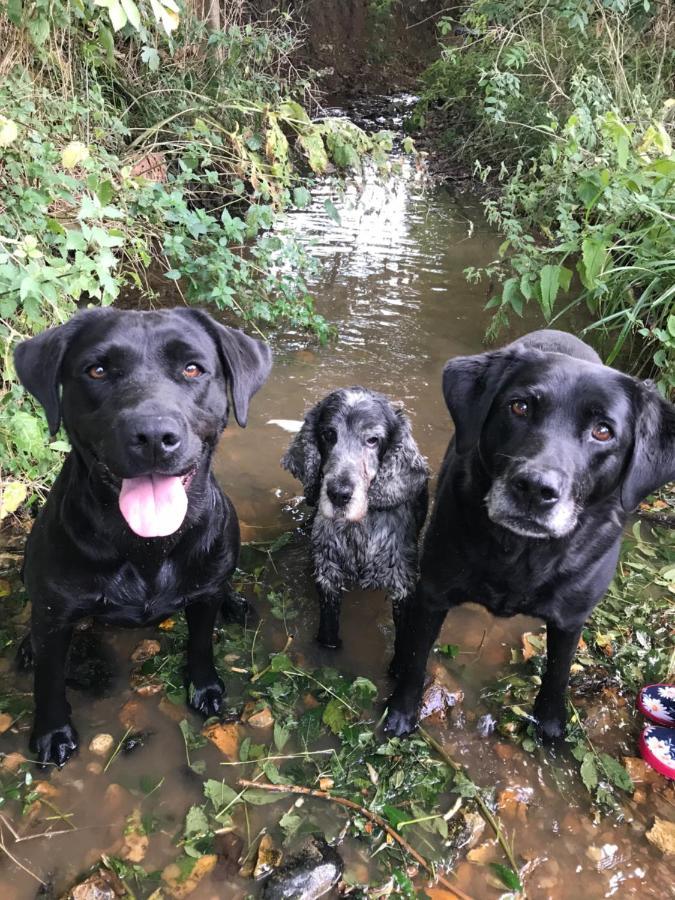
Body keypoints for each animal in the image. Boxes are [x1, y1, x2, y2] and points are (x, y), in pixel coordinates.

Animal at [13, 306, 272, 764]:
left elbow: (201, 645)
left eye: (192, 368)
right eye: (97, 370)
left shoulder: (203, 596)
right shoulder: (55, 616)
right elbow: (49, 679)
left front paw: (205, 687)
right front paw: (51, 731)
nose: (153, 435)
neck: (146, 546)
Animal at [282, 386, 430, 652]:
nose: (339, 494)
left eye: (372, 440)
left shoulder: (402, 582)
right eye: (328, 434)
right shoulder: (328, 573)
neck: (359, 531)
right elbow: (328, 631)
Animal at [386, 330, 675, 740]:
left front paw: (551, 728)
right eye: (519, 407)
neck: (521, 553)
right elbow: (414, 658)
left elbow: (557, 674)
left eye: (603, 431)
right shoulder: (431, 594)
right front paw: (401, 713)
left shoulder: (571, 619)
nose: (535, 488)